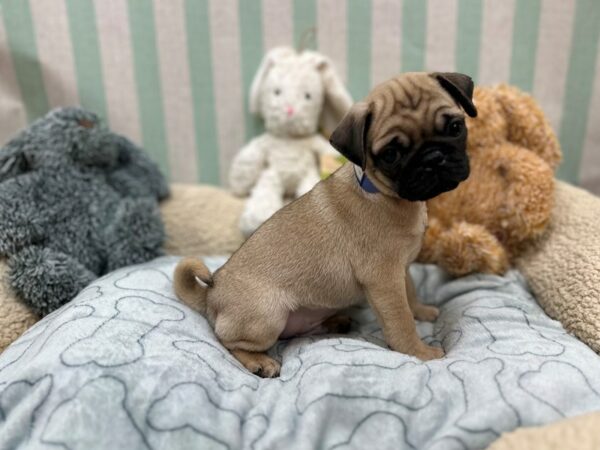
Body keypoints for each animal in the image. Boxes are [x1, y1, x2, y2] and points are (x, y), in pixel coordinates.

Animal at [175, 72, 478, 378]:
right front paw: (419, 352)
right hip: (268, 316)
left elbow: (411, 291)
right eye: (391, 154)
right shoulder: (384, 278)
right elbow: (400, 319)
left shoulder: (400, 269)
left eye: (455, 127)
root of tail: (211, 295)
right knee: (227, 341)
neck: (387, 195)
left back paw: (335, 323)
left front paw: (422, 310)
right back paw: (260, 362)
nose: (433, 157)